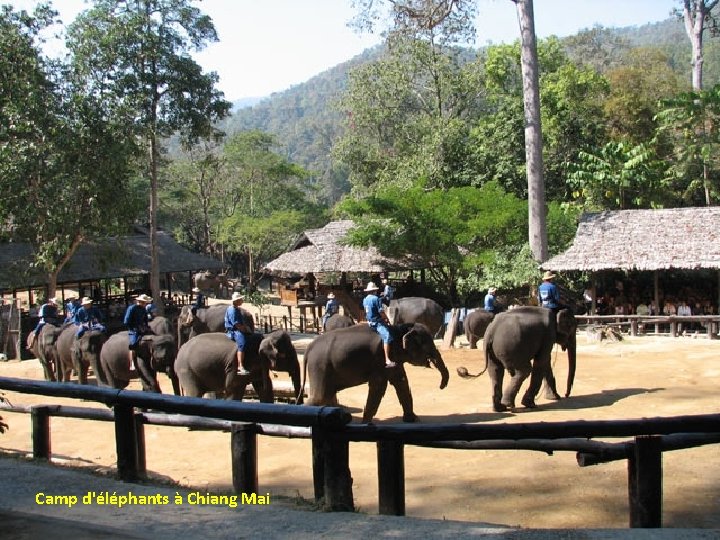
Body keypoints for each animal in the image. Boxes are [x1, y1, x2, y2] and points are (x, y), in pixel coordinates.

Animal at [300, 322, 448, 424]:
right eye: (427, 345)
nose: (442, 386)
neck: (398, 329)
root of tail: (309, 348)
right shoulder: (380, 358)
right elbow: (379, 386)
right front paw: (366, 423)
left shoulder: (392, 360)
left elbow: (401, 383)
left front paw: (413, 420)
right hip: (319, 367)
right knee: (319, 397)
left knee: (327, 396)